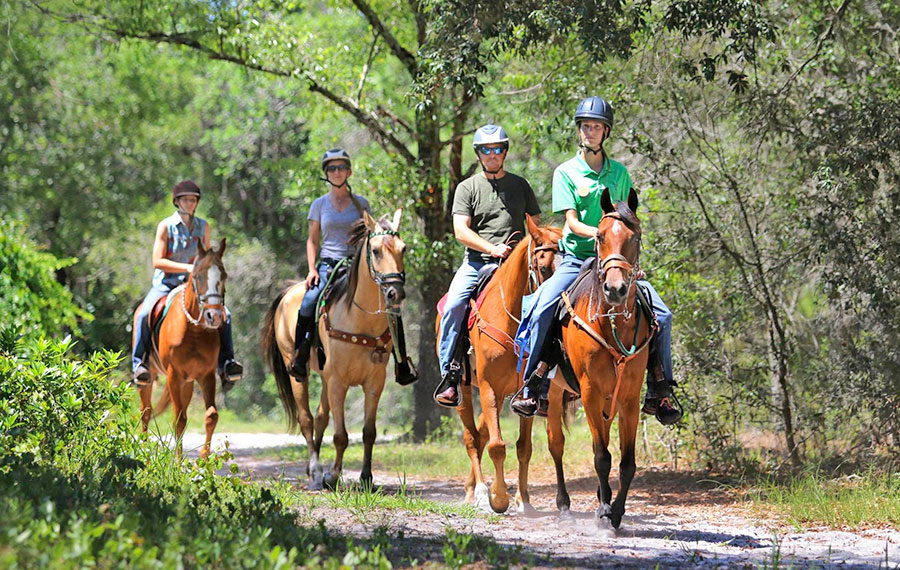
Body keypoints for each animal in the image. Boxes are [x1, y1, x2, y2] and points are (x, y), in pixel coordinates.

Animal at [136, 236, 230, 458]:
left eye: (224, 276)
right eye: (198, 276)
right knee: (146, 412)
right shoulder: (174, 374)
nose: (214, 316)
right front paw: (177, 461)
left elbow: (211, 415)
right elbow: (179, 419)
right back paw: (144, 452)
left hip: (188, 383)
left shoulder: (206, 375)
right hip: (150, 377)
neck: (193, 330)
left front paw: (204, 460)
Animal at [262, 209, 406, 488]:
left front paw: (366, 478)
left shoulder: (374, 382)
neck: (360, 321)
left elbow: (368, 432)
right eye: (375, 250)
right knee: (307, 419)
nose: (395, 292)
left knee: (320, 417)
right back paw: (316, 471)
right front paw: (332, 475)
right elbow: (340, 436)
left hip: (326, 378)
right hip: (298, 371)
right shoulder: (339, 381)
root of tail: (290, 291)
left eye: (403, 249)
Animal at [436, 215, 564, 512]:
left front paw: (524, 500)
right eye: (543, 267)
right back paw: (481, 492)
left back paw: (473, 488)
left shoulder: (523, 394)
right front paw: (499, 497)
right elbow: (496, 445)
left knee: (481, 433)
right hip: (464, 389)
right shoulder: (488, 387)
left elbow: (524, 448)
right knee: (472, 438)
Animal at [548, 187, 652, 532]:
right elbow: (601, 457)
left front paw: (615, 510)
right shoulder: (591, 393)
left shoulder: (629, 398)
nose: (615, 289)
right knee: (556, 444)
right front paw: (605, 511)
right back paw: (564, 504)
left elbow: (627, 462)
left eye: (635, 237)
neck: (611, 322)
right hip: (554, 392)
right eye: (601, 236)